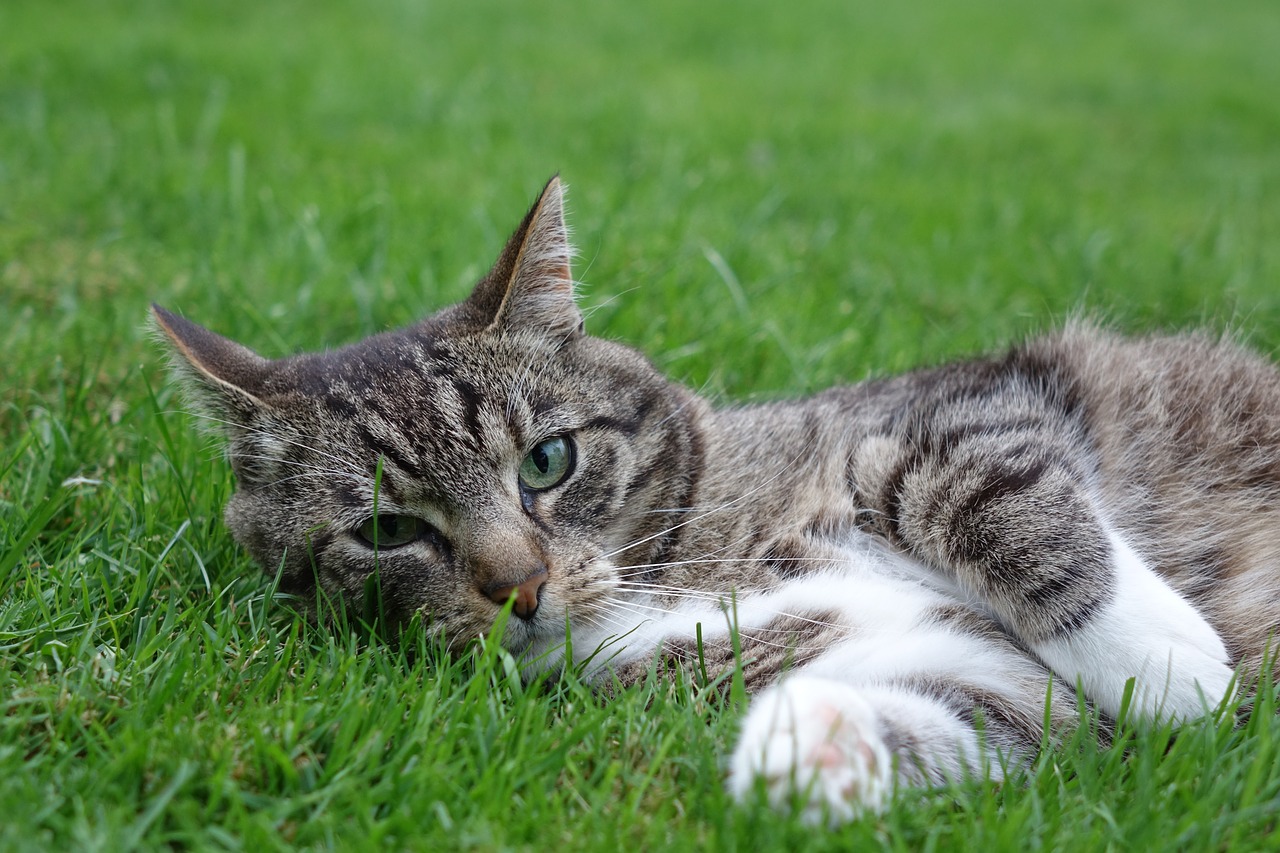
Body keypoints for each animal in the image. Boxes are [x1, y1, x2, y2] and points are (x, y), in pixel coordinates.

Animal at [154, 175, 1280, 819]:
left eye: (546, 462)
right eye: (388, 531)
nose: (518, 587)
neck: (679, 570)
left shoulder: (966, 405)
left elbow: (979, 487)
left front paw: (1171, 662)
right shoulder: (1000, 693)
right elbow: (968, 714)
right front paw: (798, 751)